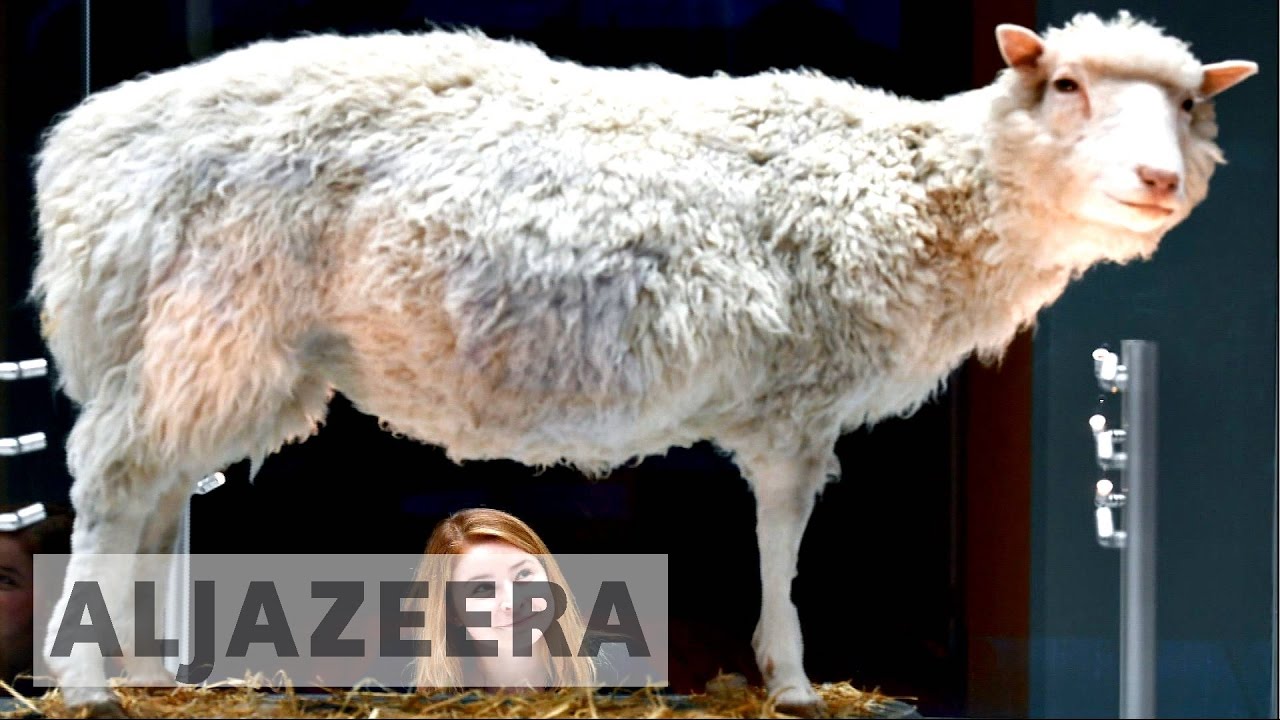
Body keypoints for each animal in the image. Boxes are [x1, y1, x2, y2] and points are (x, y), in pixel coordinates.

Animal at [30, 10, 1255, 716]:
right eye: (1066, 88)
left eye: (1192, 106)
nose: (1156, 180)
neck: (918, 189)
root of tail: (81, 146)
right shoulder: (797, 395)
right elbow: (780, 538)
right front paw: (793, 680)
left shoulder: (792, 398)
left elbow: (777, 538)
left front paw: (783, 673)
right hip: (213, 323)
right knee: (112, 491)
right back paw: (90, 686)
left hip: (193, 346)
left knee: (150, 501)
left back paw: (142, 675)